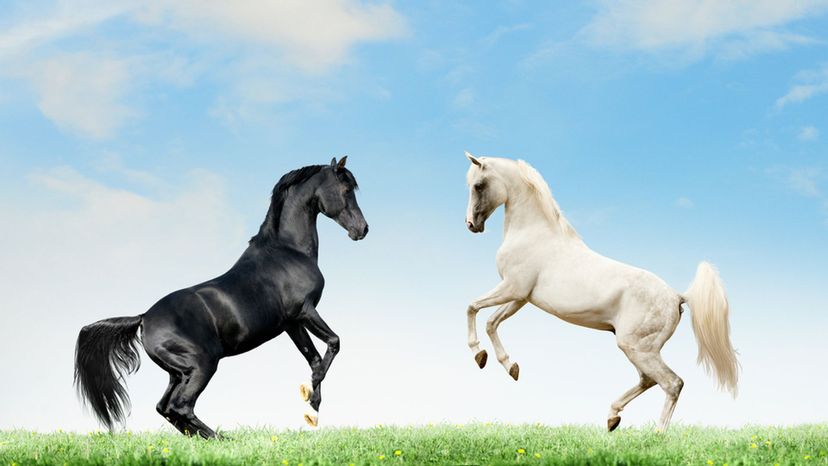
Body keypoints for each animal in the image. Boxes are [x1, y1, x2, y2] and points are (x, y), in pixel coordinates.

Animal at [74, 157, 368, 438]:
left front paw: (312, 407)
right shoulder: (305, 311)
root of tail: (143, 318)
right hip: (202, 365)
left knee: (166, 408)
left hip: (178, 373)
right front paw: (311, 390)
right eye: (346, 190)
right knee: (180, 406)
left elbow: (314, 357)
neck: (287, 251)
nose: (362, 229)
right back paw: (222, 439)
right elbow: (334, 343)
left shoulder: (291, 324)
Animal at [462, 152, 739, 432]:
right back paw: (612, 418)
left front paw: (478, 354)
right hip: (640, 349)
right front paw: (508, 366)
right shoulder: (521, 297)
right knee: (648, 380)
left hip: (637, 348)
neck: (534, 234)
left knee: (671, 383)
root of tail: (678, 296)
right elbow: (491, 322)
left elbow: (472, 307)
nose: (471, 225)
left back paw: (657, 434)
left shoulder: (512, 288)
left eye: (479, 185)